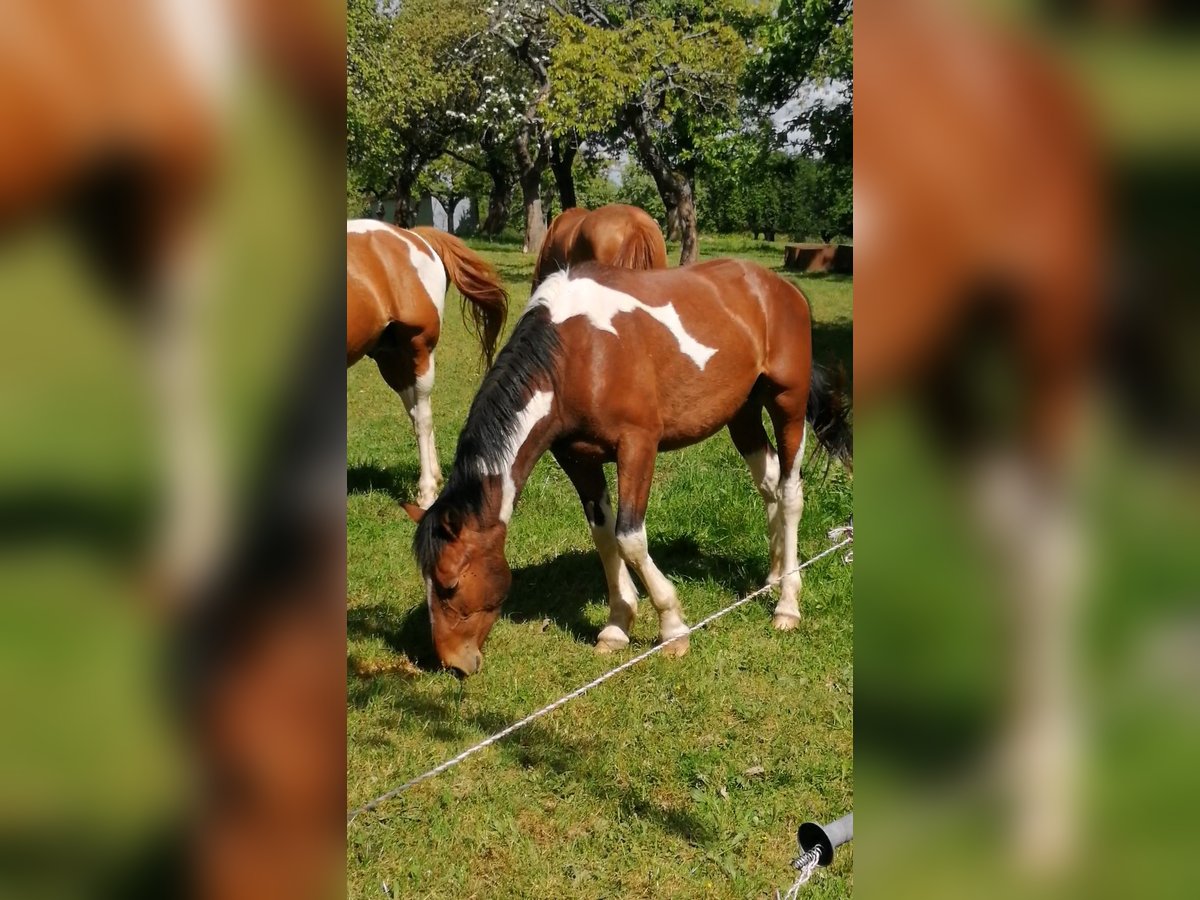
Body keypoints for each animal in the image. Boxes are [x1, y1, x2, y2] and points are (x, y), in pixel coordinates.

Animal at [350, 220, 511, 508]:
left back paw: (427, 492)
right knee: (417, 413)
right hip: (392, 358)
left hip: (419, 350)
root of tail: (414, 236)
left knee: (422, 418)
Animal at [405, 260, 854, 676]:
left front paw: (672, 628)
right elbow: (604, 537)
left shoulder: (638, 447)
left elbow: (630, 538)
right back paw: (772, 577)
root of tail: (781, 287)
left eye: (449, 584)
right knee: (770, 485)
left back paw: (787, 604)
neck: (578, 354)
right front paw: (617, 625)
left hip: (787, 404)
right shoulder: (577, 458)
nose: (452, 662)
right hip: (742, 414)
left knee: (791, 493)